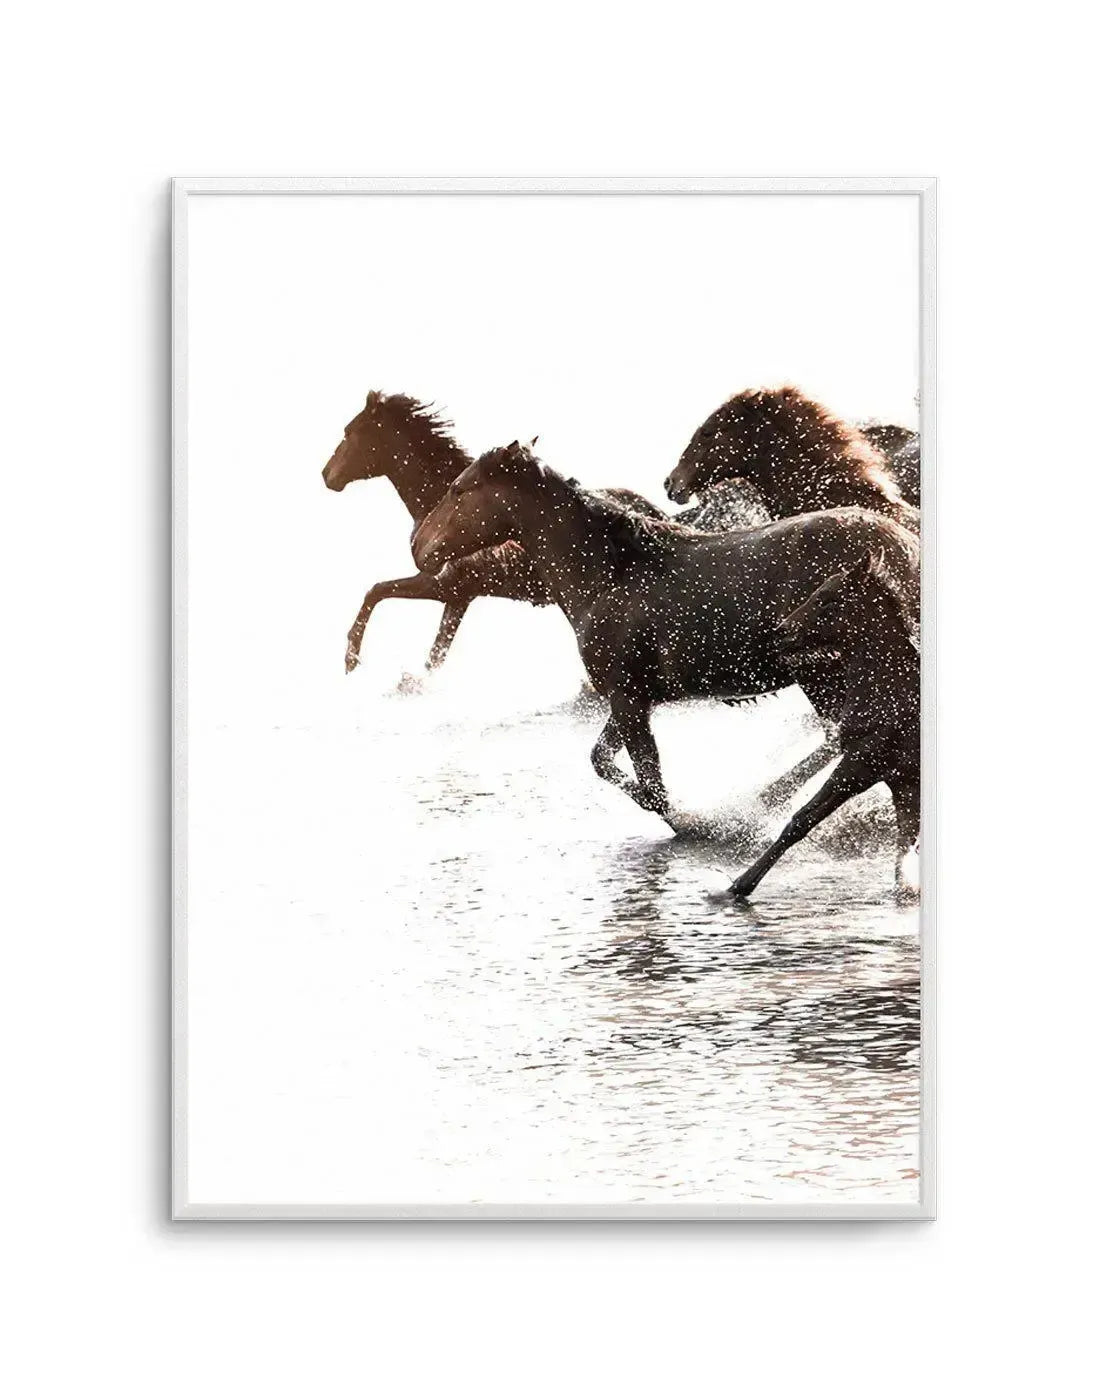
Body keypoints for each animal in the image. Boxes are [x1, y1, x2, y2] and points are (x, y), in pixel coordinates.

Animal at [322, 391, 676, 675]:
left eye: (349, 432)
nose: (326, 475)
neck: (436, 499)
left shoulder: (442, 586)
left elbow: (376, 591)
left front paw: (351, 660)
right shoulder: (458, 598)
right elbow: (435, 654)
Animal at [411, 441, 920, 823]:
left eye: (458, 489)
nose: (417, 546)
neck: (610, 573)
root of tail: (898, 542)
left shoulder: (627, 698)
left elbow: (653, 789)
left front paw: (700, 824)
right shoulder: (633, 696)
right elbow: (602, 760)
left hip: (824, 674)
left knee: (837, 737)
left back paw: (762, 801)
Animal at [729, 549, 920, 898]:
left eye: (826, 598)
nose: (781, 631)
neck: (890, 690)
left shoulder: (859, 765)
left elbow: (801, 820)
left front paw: (741, 884)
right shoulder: (905, 783)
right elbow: (904, 849)